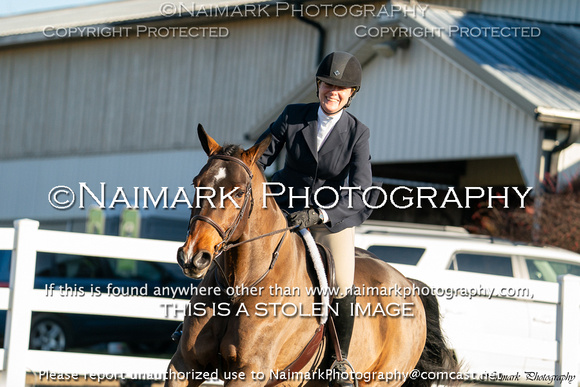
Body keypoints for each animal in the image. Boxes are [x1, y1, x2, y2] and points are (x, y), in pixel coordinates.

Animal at [165, 126, 460, 386]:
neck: (240, 286)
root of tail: (409, 284)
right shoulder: (184, 366)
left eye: (238, 192)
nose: (193, 256)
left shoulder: (249, 373)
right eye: (196, 184)